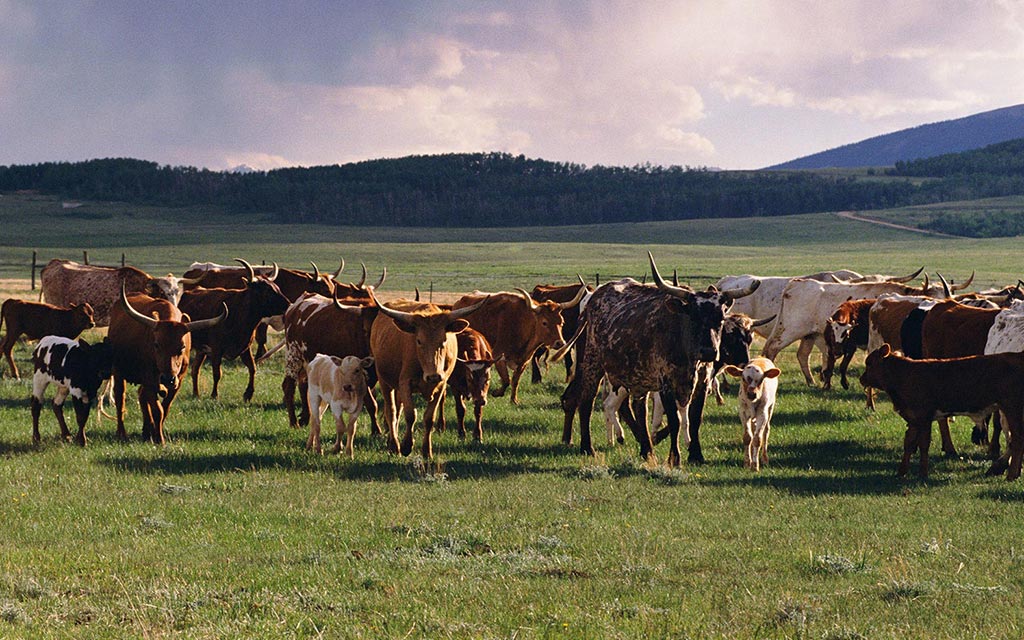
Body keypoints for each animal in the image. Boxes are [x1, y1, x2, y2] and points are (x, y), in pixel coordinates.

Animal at [179, 258, 292, 399]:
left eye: (277, 287)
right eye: (267, 291)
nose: (288, 304)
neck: (238, 313)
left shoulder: (245, 348)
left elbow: (252, 368)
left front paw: (248, 393)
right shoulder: (216, 350)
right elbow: (217, 373)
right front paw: (214, 394)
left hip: (201, 350)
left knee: (195, 369)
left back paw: (196, 393)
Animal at [860, 344, 1024, 479]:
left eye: (869, 363)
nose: (862, 379)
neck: (905, 375)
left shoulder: (924, 417)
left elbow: (924, 444)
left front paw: (922, 474)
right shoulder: (913, 418)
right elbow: (909, 444)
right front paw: (901, 472)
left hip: (1012, 408)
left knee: (1017, 440)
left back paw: (1010, 475)